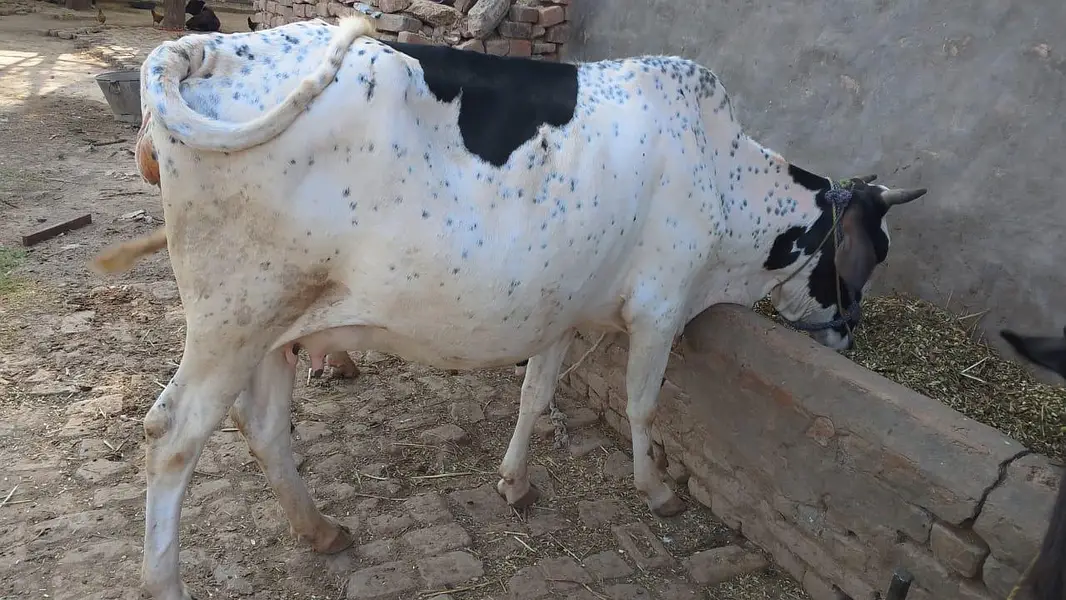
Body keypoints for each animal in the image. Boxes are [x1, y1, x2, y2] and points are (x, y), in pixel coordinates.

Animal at [103, 16, 927, 599]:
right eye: (873, 254)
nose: (848, 336)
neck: (723, 175)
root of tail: (206, 47)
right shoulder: (660, 308)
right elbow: (643, 407)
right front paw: (658, 491)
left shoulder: (561, 306)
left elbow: (535, 394)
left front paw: (516, 481)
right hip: (232, 321)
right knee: (171, 436)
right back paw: (167, 582)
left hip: (275, 326)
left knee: (266, 427)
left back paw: (322, 530)